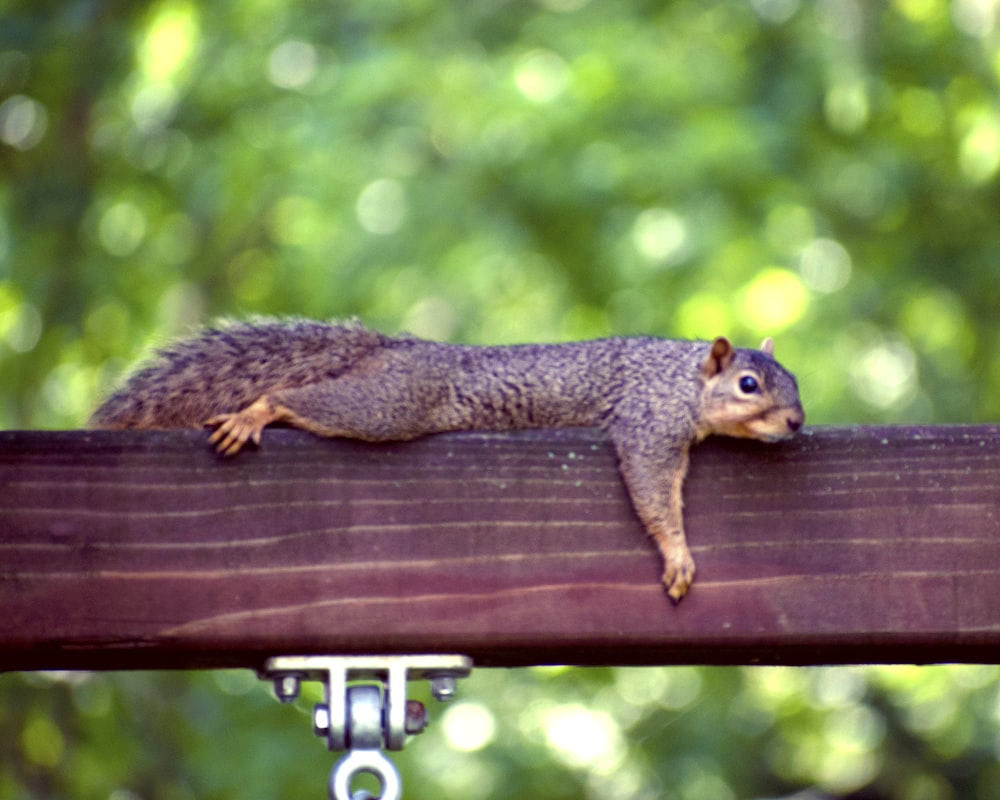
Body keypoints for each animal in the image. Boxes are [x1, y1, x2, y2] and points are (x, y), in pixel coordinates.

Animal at [88, 318, 804, 600]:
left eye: (794, 380)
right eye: (749, 384)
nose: (797, 421)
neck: (684, 380)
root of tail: (395, 346)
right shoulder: (649, 425)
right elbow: (654, 491)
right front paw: (677, 552)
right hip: (390, 403)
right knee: (300, 400)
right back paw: (256, 410)